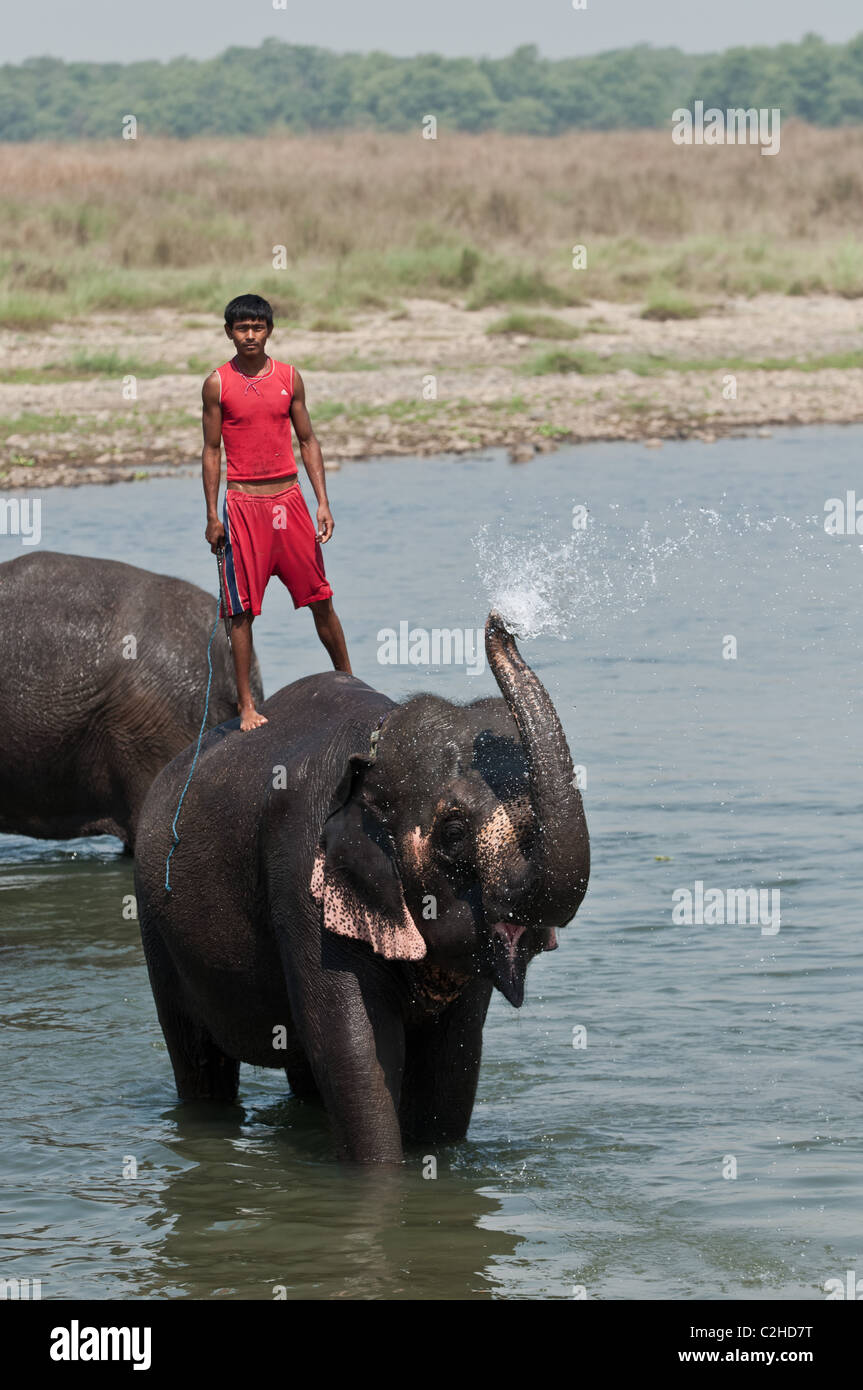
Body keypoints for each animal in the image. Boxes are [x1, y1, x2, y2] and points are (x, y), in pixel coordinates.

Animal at [134, 614, 589, 1167]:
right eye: (454, 833)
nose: (500, 624)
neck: (375, 744)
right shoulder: (300, 876)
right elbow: (354, 1050)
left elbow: (451, 1061)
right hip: (155, 926)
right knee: (199, 1061)